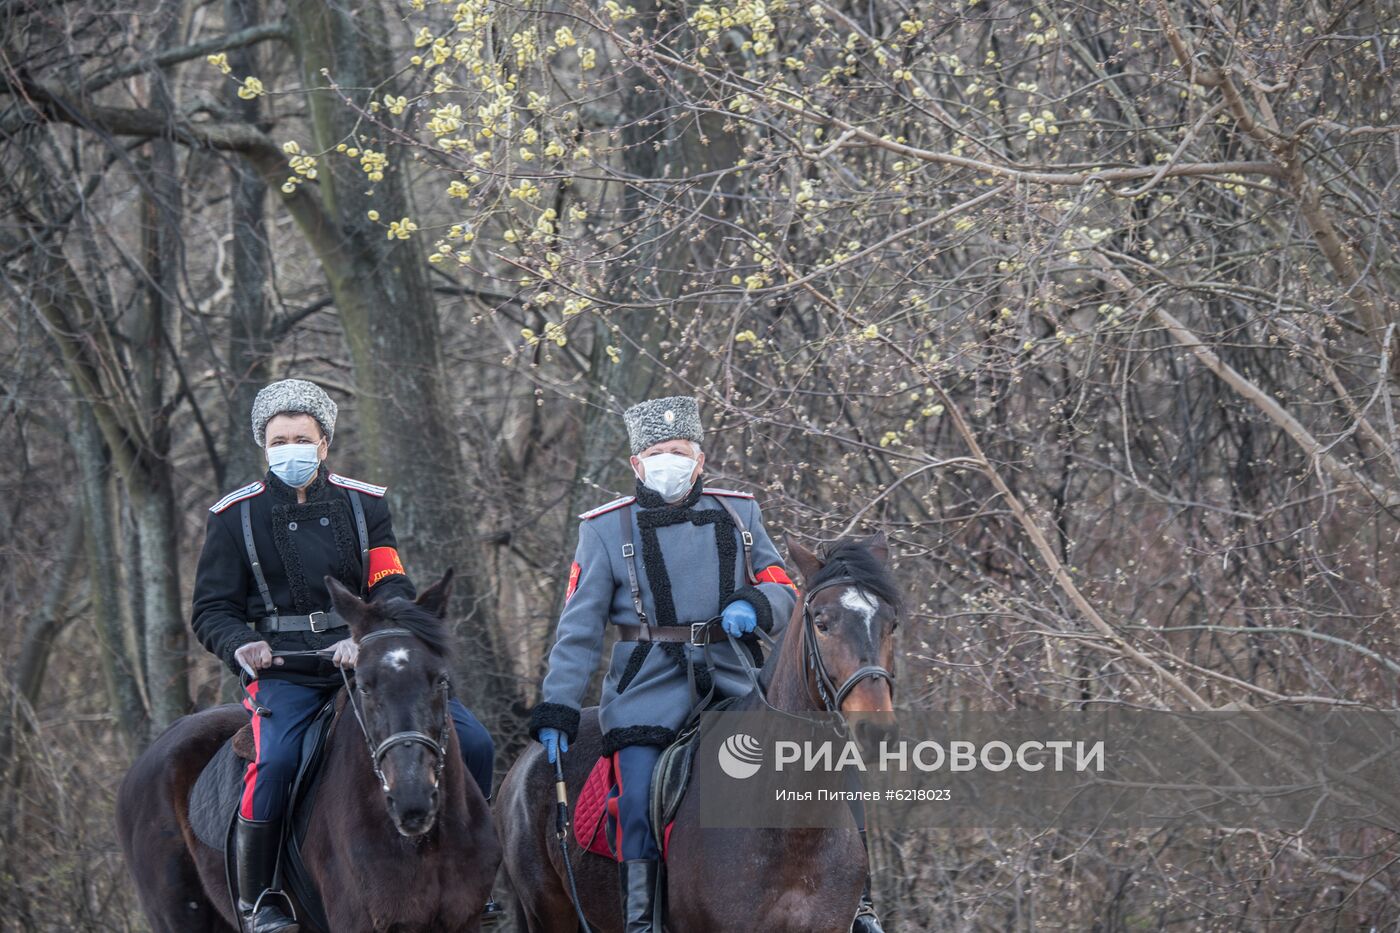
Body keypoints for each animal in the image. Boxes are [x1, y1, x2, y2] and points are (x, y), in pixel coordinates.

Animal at [498, 529, 901, 930]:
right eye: (822, 623)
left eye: (891, 624)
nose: (876, 731)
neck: (792, 831)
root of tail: (526, 763)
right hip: (548, 912)